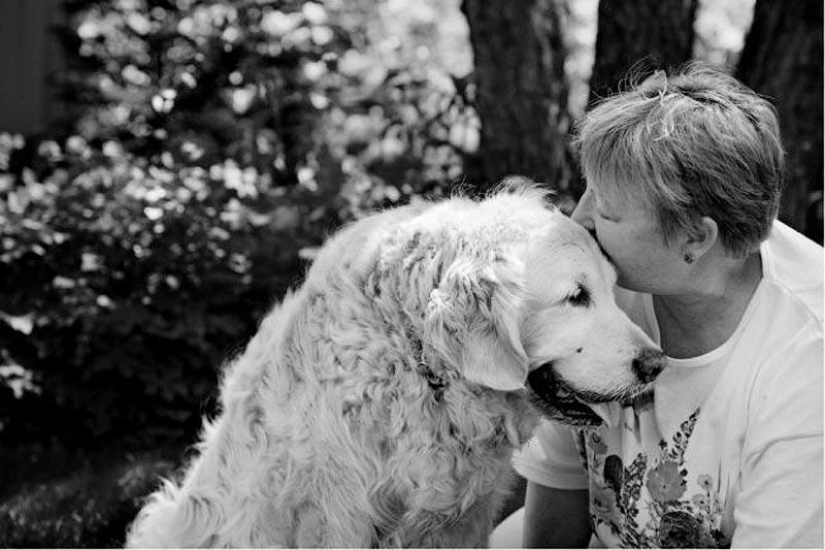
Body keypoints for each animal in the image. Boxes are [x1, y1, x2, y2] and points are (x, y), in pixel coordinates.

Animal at [127, 182, 664, 548]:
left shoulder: (461, 521)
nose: (657, 363)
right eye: (576, 296)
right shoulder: (337, 520)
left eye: (611, 288)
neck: (420, 362)